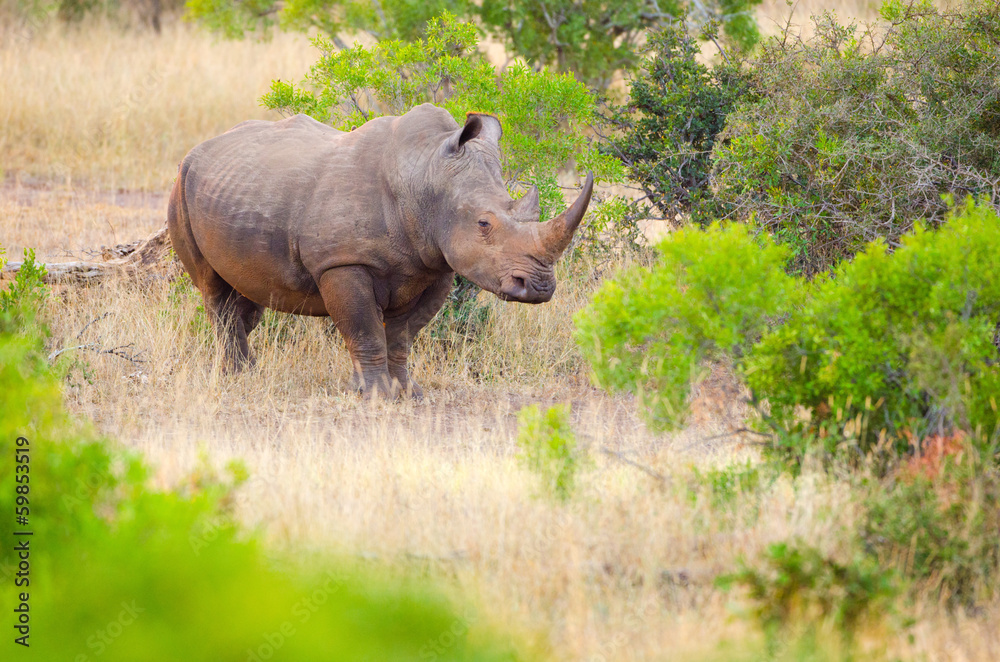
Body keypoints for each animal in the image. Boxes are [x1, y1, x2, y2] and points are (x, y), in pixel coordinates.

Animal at [167, 103, 593, 397]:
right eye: (484, 224)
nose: (539, 288)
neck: (425, 177)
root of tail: (200, 148)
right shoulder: (342, 263)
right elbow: (365, 329)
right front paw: (374, 395)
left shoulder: (434, 264)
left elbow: (403, 335)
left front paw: (407, 392)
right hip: (181, 185)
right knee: (213, 288)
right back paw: (237, 375)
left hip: (238, 189)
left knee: (248, 297)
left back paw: (248, 369)